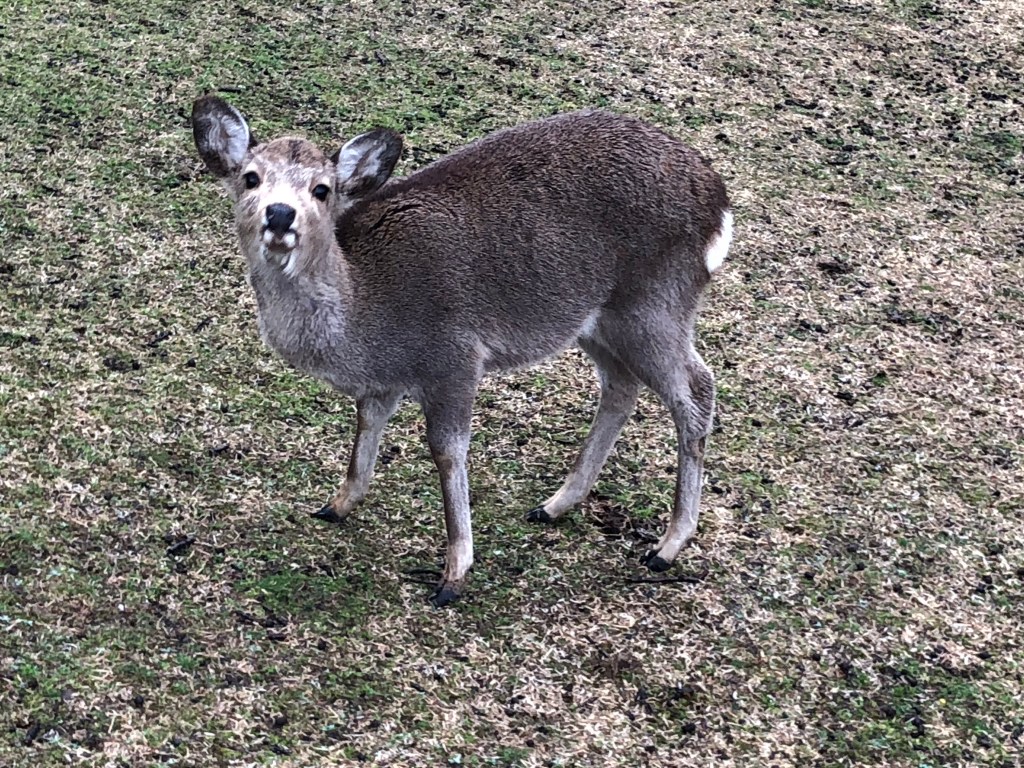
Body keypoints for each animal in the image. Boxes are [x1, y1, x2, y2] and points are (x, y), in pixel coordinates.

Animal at [191, 95, 733, 607]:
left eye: (322, 189)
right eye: (250, 177)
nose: (280, 214)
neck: (366, 316)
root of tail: (719, 202)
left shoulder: (454, 357)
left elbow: (447, 452)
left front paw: (454, 575)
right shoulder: (385, 380)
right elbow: (366, 426)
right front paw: (336, 505)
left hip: (655, 302)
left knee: (696, 388)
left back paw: (667, 546)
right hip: (596, 319)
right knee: (622, 386)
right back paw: (555, 504)